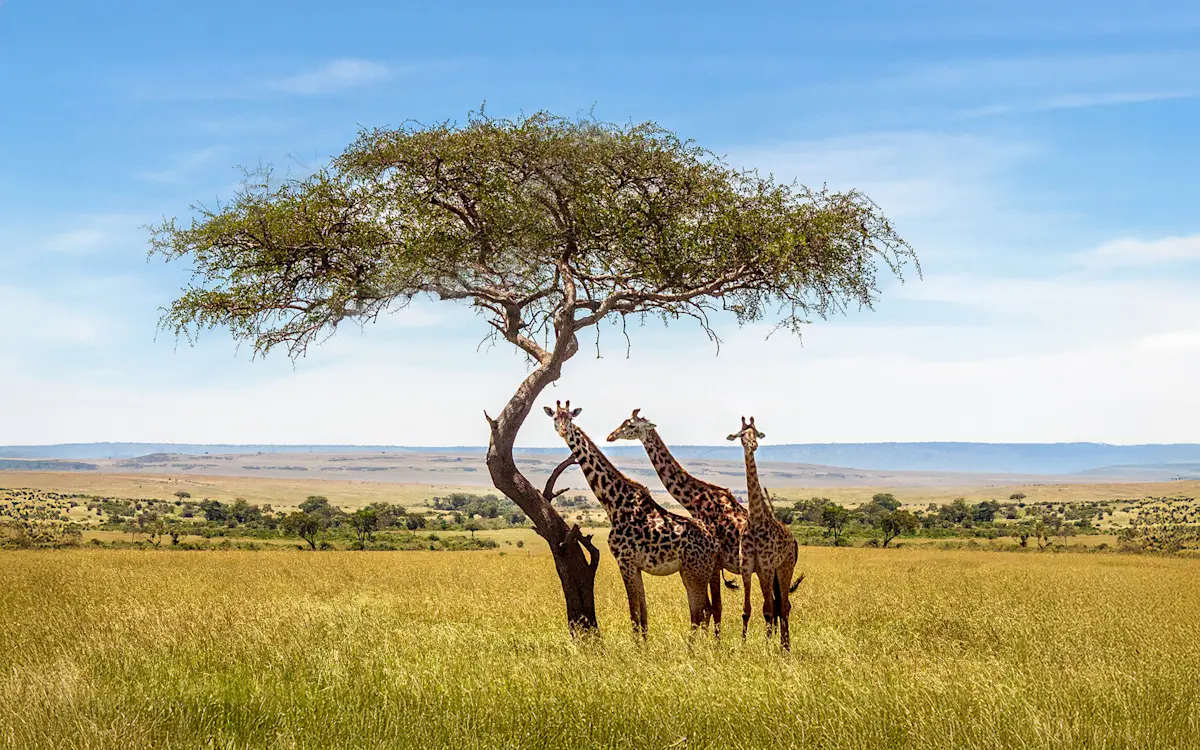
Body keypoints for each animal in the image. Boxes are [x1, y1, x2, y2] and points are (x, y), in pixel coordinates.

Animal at [545, 400, 723, 638]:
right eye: (556, 418)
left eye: (570, 418)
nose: (563, 431)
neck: (613, 503)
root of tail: (714, 543)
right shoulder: (636, 566)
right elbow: (643, 613)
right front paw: (644, 645)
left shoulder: (625, 560)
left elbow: (634, 613)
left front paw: (636, 646)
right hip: (702, 571)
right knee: (707, 610)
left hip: (694, 570)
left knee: (700, 613)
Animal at [606, 409, 755, 633]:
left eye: (631, 425)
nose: (611, 436)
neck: (696, 499)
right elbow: (709, 608)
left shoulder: (715, 561)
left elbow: (714, 607)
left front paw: (715, 641)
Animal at [729, 416, 800, 649]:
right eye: (742, 435)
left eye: (757, 433)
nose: (752, 445)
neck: (756, 520)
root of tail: (794, 541)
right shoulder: (748, 565)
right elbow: (747, 610)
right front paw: (743, 646)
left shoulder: (768, 564)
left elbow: (768, 610)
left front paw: (767, 648)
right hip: (766, 572)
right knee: (778, 604)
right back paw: (782, 644)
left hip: (785, 567)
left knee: (784, 605)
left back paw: (785, 647)